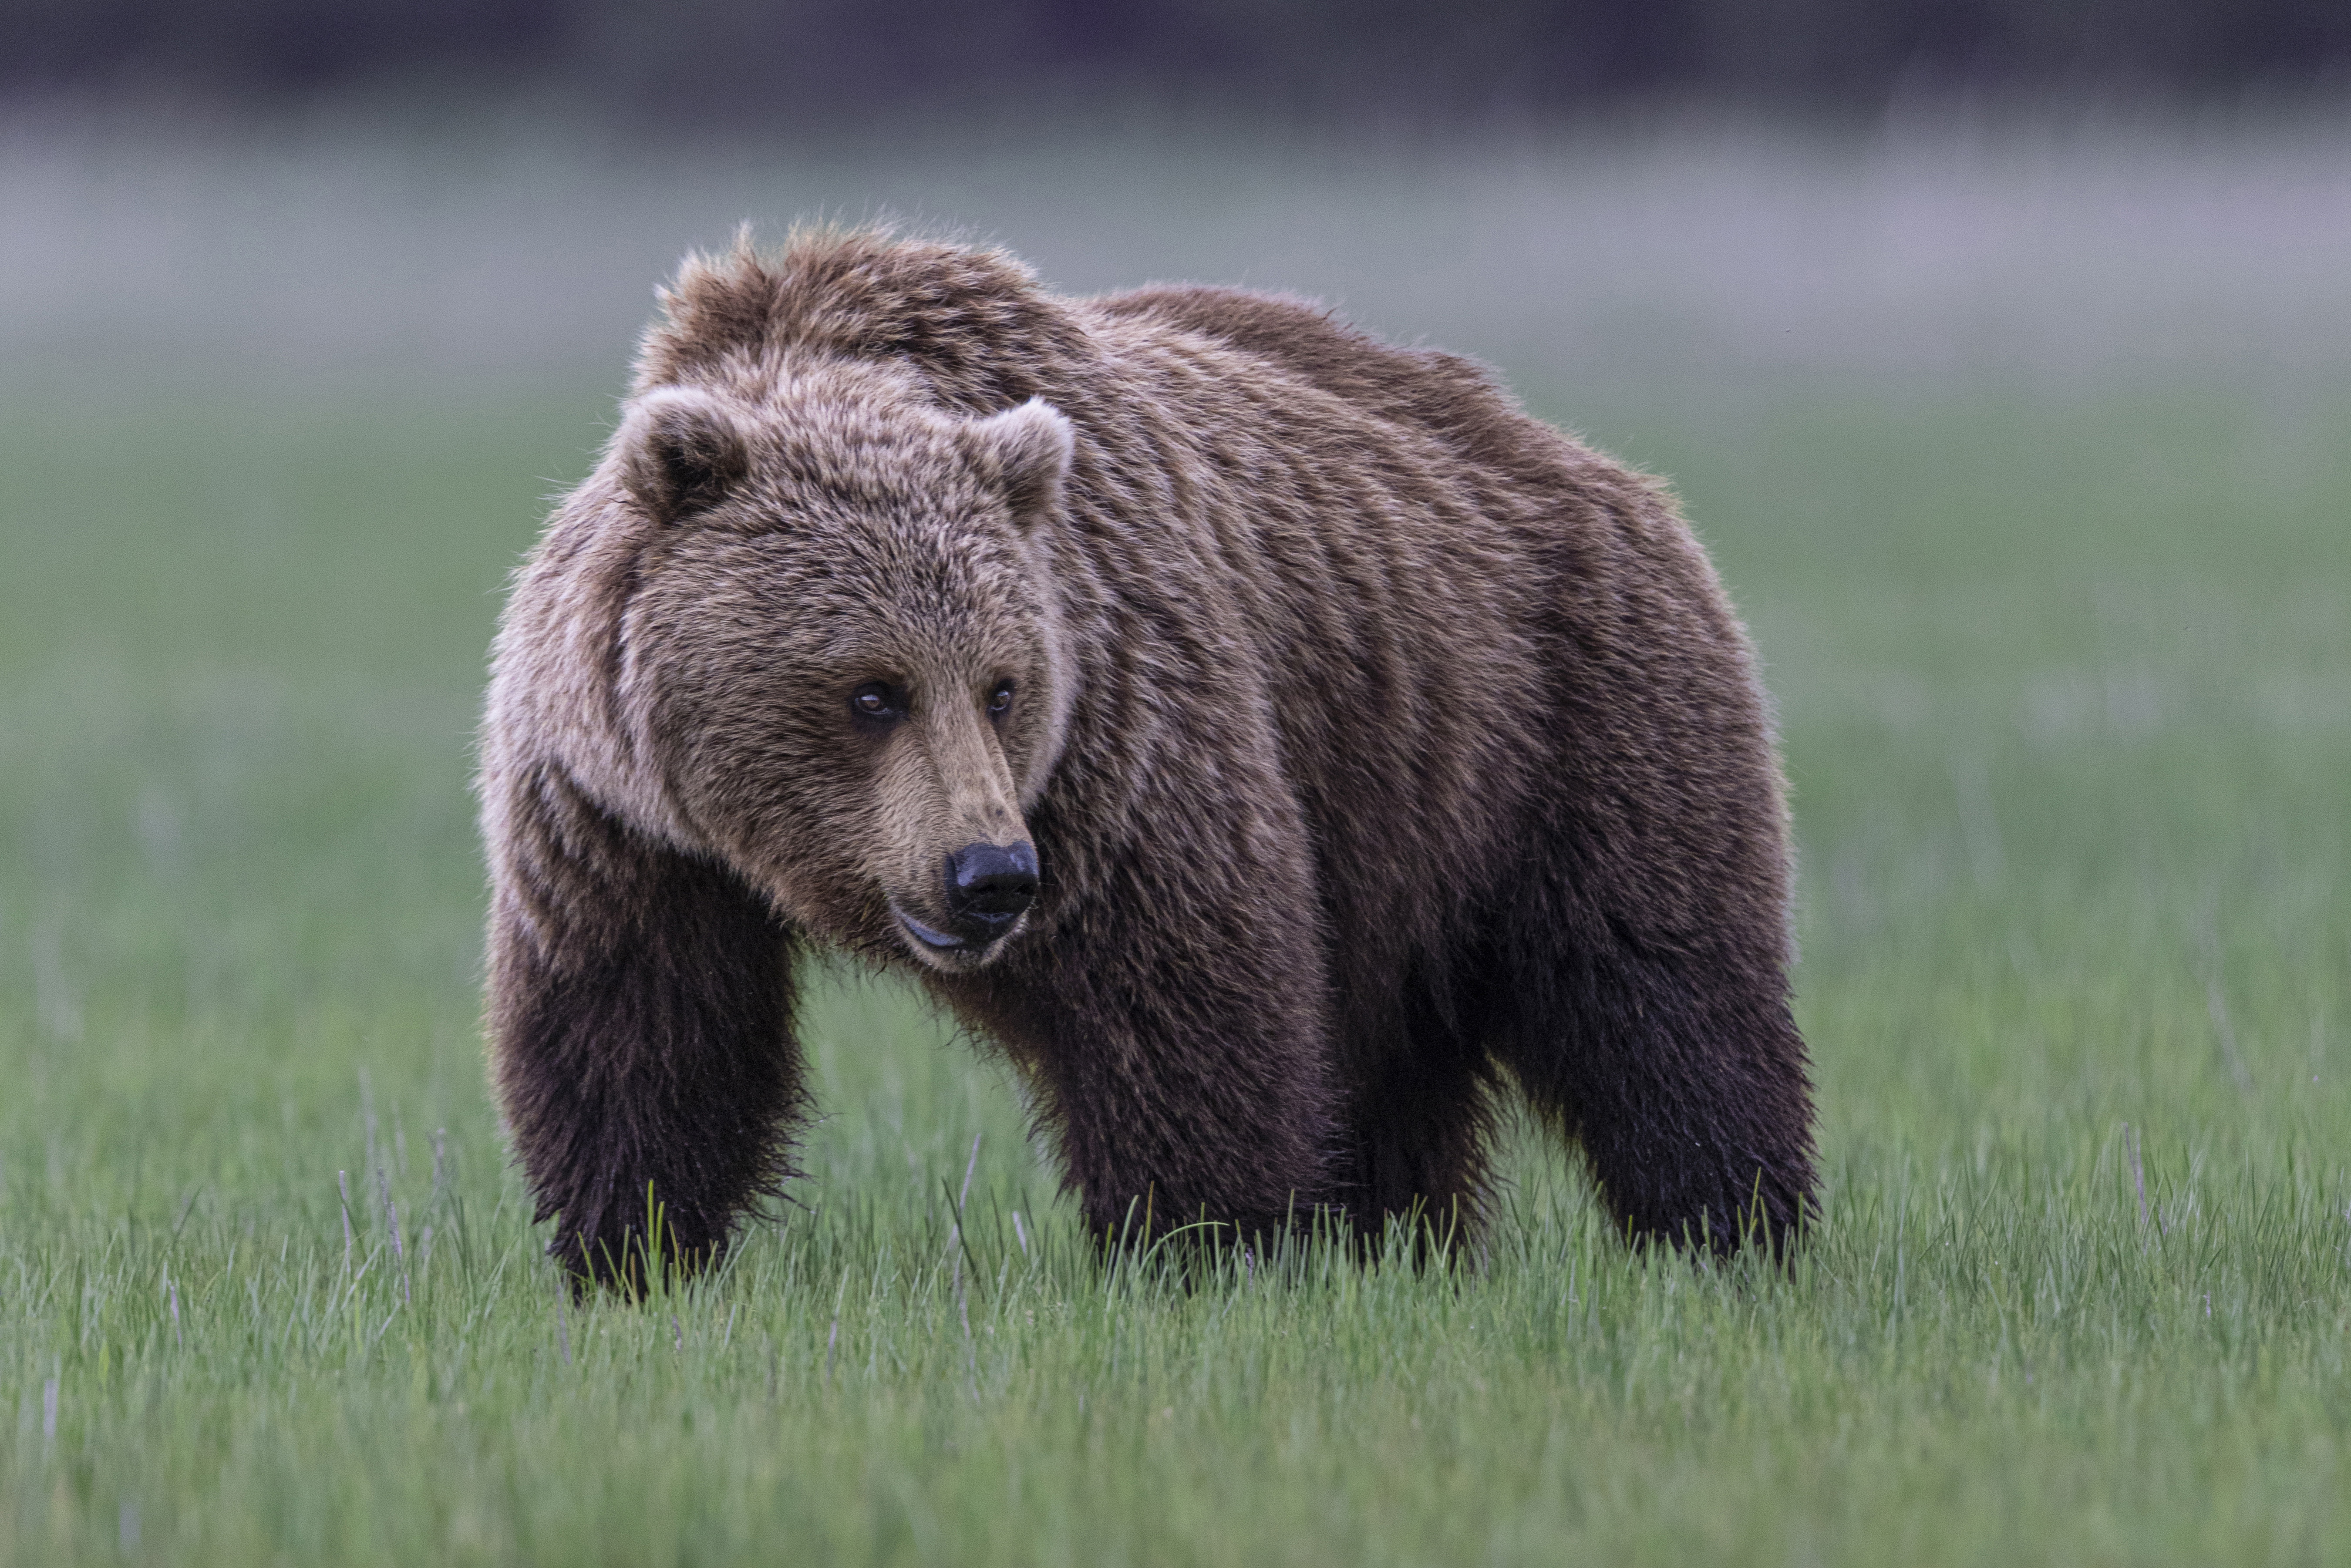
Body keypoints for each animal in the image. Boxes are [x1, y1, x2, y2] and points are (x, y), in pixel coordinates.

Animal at [479, 228, 1816, 1289]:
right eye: (871, 690)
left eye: (1003, 686)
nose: (989, 875)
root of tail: (1597, 467)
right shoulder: (618, 821)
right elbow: (643, 1033)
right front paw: (628, 1252)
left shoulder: (1123, 734)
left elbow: (1184, 991)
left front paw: (1202, 1246)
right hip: (1398, 825)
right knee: (1396, 1058)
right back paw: (1401, 1239)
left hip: (1560, 716)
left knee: (1657, 991)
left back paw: (1732, 1228)